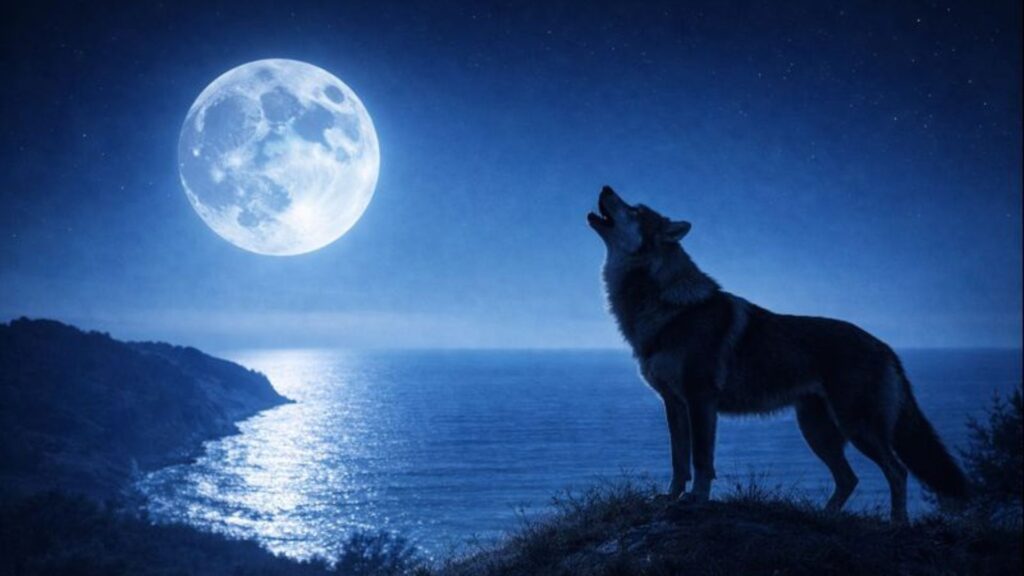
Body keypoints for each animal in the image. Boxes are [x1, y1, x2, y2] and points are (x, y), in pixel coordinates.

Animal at [588, 185, 968, 522]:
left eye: (635, 210)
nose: (605, 187)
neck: (666, 307)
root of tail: (888, 348)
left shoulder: (700, 400)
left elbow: (701, 459)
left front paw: (697, 499)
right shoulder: (674, 403)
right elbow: (678, 459)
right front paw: (672, 496)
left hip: (855, 427)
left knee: (897, 471)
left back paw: (897, 522)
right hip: (816, 431)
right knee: (850, 478)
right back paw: (824, 517)